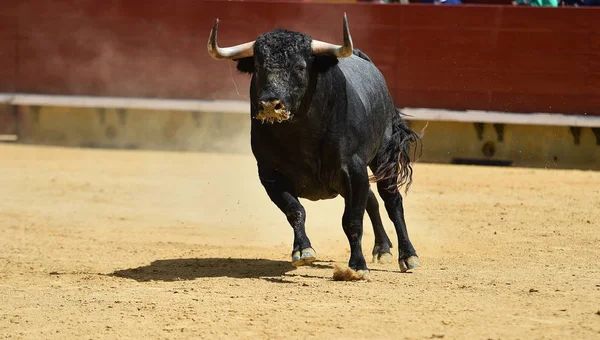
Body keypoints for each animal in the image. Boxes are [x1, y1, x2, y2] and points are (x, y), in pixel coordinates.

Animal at [206, 13, 422, 274]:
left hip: (383, 157)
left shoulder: (353, 170)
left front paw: (357, 266)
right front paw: (303, 251)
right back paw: (382, 249)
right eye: (258, 67)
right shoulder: (269, 174)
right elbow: (295, 211)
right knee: (371, 199)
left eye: (300, 67)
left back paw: (408, 256)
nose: (269, 105)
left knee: (392, 201)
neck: (301, 134)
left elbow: (352, 220)